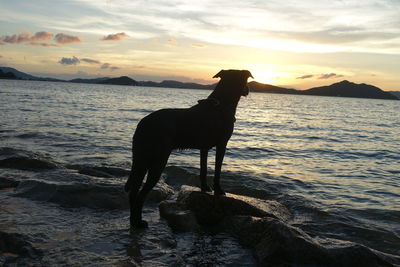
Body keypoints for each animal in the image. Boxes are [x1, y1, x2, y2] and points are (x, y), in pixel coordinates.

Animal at [124, 69, 253, 228]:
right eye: (245, 79)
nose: (248, 89)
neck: (221, 105)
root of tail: (142, 124)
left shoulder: (204, 148)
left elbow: (203, 169)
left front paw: (204, 188)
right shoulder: (222, 145)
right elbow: (217, 171)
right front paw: (219, 190)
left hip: (141, 158)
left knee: (134, 190)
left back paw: (133, 220)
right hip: (158, 159)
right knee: (141, 194)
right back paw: (138, 222)